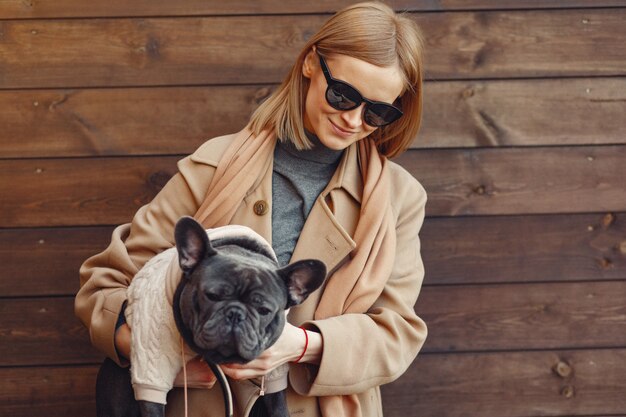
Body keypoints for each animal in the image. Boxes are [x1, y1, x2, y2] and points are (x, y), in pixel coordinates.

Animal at [96, 218, 326, 416]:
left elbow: (277, 404)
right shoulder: (152, 364)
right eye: (212, 296)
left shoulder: (273, 373)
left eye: (264, 310)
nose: (235, 314)